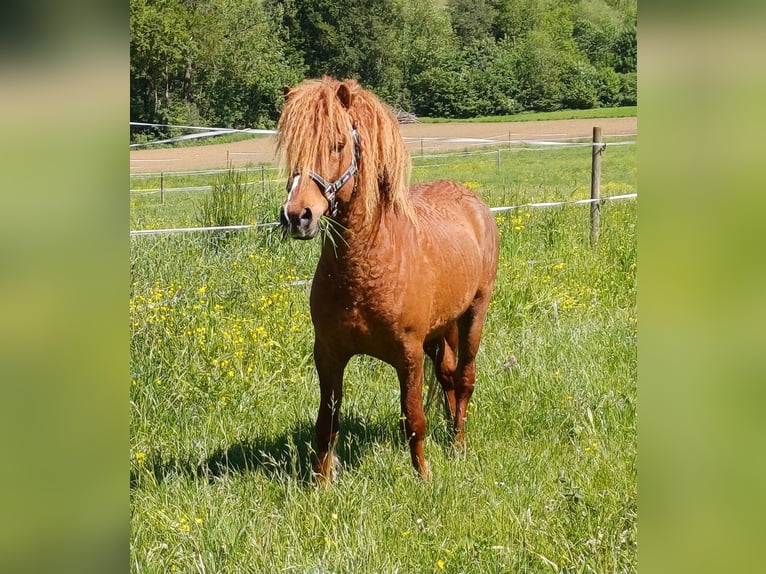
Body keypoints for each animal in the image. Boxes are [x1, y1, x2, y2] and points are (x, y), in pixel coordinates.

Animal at [277, 77, 499, 482]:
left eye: (338, 143)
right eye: (292, 149)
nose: (297, 216)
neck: (364, 269)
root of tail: (471, 199)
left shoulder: (408, 355)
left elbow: (414, 419)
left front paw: (423, 478)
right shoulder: (328, 355)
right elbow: (326, 423)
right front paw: (320, 484)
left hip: (474, 314)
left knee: (464, 379)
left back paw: (457, 446)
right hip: (440, 331)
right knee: (447, 377)